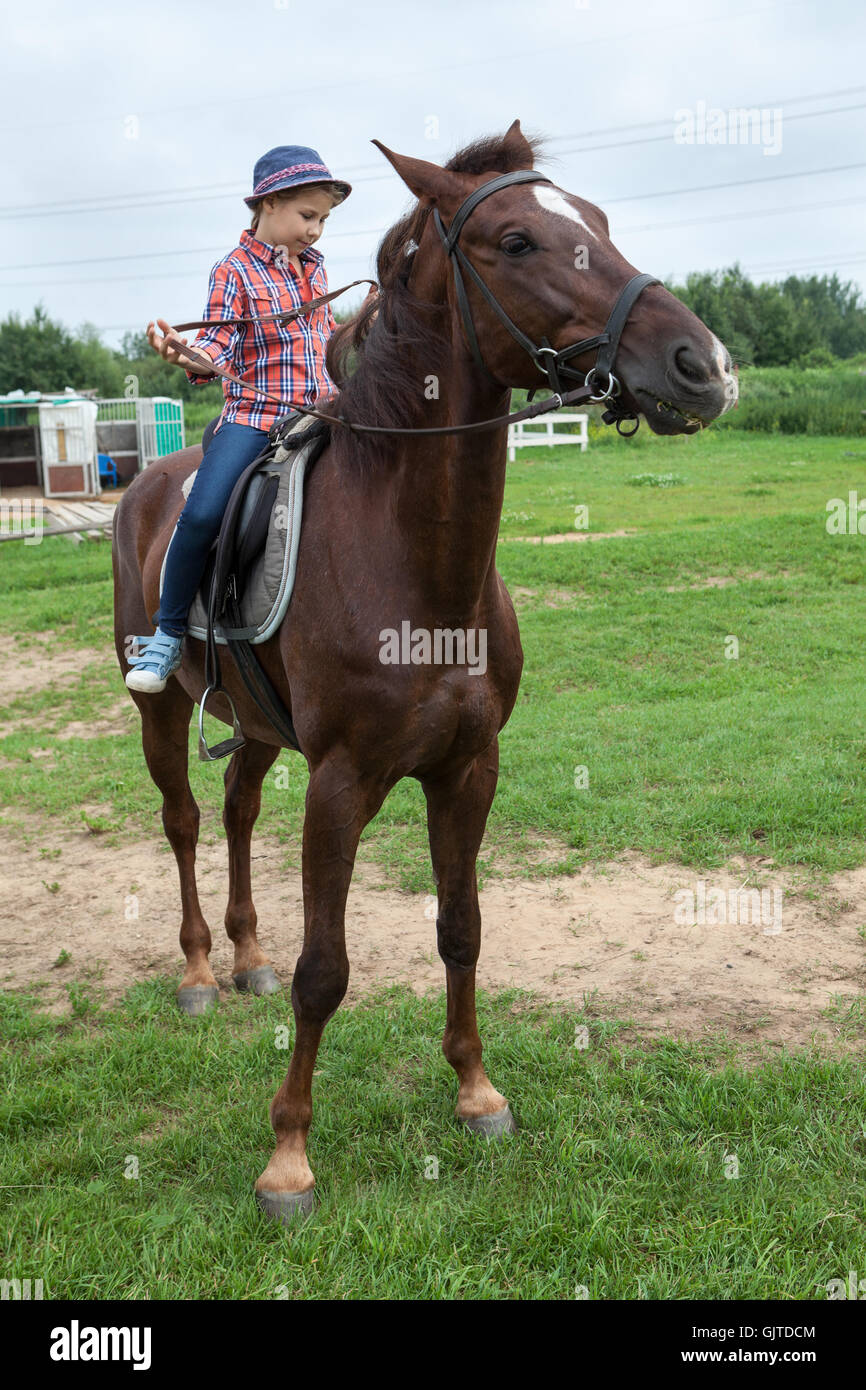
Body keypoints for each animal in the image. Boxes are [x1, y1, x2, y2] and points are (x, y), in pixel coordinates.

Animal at [111, 122, 739, 1228]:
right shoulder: (340, 780)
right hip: (166, 714)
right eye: (518, 241)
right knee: (184, 821)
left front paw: (476, 1092)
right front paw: (287, 1159)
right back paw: (196, 969)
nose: (699, 366)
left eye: (599, 221)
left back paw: (244, 957)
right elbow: (326, 971)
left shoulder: (467, 768)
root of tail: (148, 483)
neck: (412, 557)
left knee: (234, 813)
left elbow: (461, 929)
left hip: (258, 727)